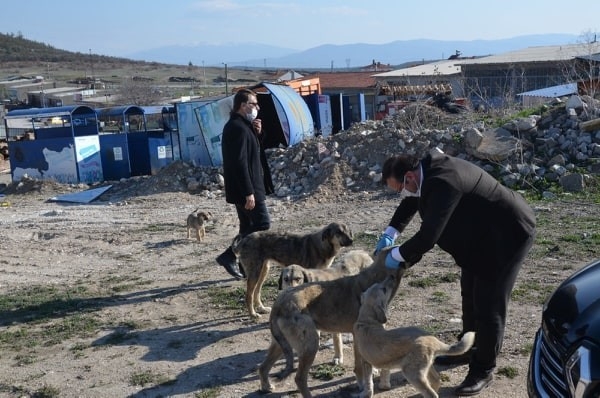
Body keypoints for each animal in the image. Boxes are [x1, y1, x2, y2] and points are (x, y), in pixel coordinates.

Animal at [258, 247, 408, 396]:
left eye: (297, 278)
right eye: (286, 279)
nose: (391, 278)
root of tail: (279, 304)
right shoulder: (359, 337)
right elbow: (360, 366)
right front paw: (363, 385)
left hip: (281, 344)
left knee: (263, 367)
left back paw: (266, 387)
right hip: (311, 345)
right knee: (299, 378)